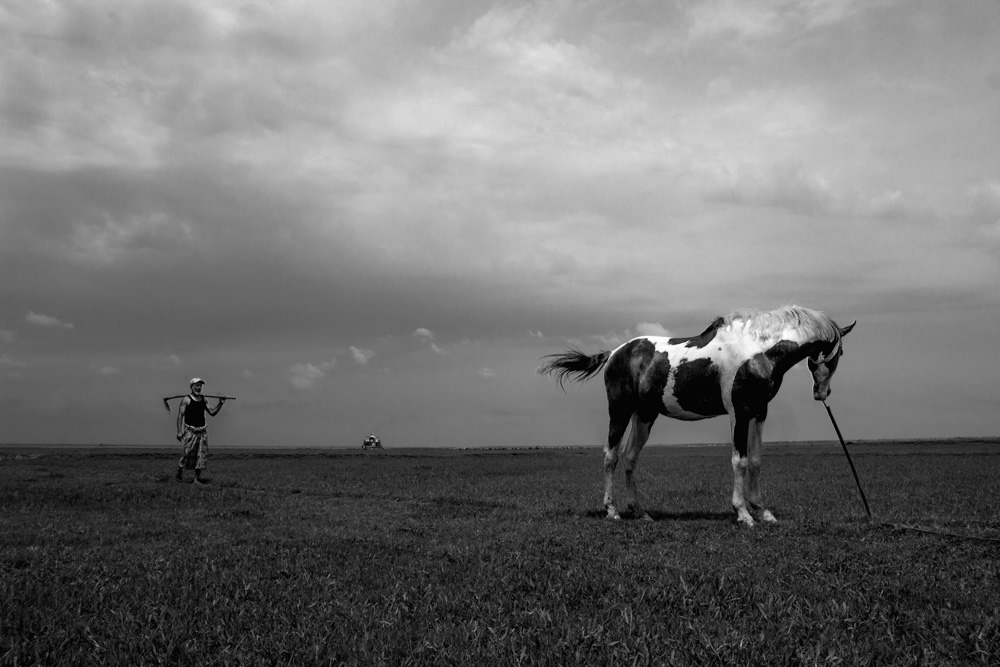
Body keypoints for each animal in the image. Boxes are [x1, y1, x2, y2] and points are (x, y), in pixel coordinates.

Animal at [536, 306, 856, 528]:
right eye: (840, 354)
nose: (822, 393)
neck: (757, 350)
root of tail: (614, 352)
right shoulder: (739, 412)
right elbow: (739, 461)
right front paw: (743, 514)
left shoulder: (759, 412)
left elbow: (755, 461)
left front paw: (763, 511)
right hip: (620, 410)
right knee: (610, 456)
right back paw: (612, 511)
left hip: (644, 415)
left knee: (630, 457)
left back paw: (640, 512)